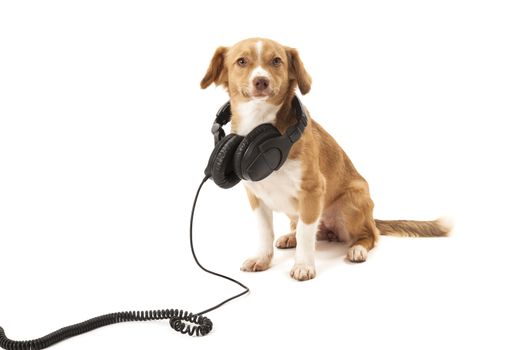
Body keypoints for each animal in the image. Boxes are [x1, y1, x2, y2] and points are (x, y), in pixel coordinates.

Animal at [199, 37, 448, 282]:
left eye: (277, 61)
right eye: (241, 61)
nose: (261, 81)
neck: (263, 129)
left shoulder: (312, 192)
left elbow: (306, 234)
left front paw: (303, 265)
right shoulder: (256, 197)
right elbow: (265, 232)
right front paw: (262, 258)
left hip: (351, 204)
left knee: (370, 235)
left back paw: (358, 248)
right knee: (305, 229)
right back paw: (291, 237)